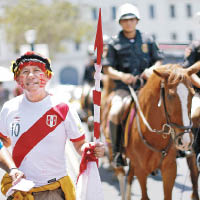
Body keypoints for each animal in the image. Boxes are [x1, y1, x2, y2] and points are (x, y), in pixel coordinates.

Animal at [104, 63, 200, 200]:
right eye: (170, 96)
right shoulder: (141, 170)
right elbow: (144, 195)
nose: (185, 140)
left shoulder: (169, 168)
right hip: (113, 152)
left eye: (192, 94)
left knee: (129, 178)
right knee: (121, 176)